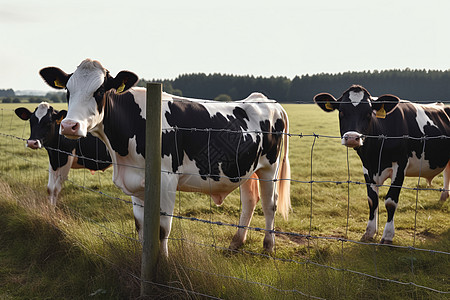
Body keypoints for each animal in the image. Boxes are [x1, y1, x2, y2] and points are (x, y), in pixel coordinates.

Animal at [38, 58, 292, 255]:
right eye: (68, 91)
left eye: (99, 91)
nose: (69, 126)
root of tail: (267, 100)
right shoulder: (137, 183)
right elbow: (141, 226)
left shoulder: (167, 181)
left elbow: (162, 229)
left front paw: (164, 266)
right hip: (246, 168)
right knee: (249, 201)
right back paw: (236, 243)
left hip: (269, 167)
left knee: (269, 203)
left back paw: (268, 246)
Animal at [314, 84, 450, 244]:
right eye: (341, 112)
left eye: (368, 113)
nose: (352, 138)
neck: (374, 153)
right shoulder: (367, 167)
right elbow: (372, 200)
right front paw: (369, 232)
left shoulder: (400, 166)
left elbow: (390, 201)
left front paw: (387, 236)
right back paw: (443, 197)